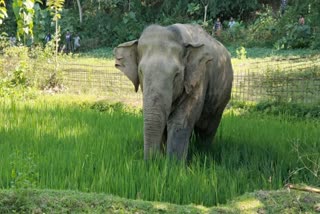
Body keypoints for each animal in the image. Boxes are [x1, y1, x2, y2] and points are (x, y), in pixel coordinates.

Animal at [114, 23, 234, 160]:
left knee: (208, 128)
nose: (151, 161)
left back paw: (203, 153)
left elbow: (179, 121)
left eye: (177, 75)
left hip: (221, 99)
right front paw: (162, 159)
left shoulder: (199, 77)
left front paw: (173, 163)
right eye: (141, 72)